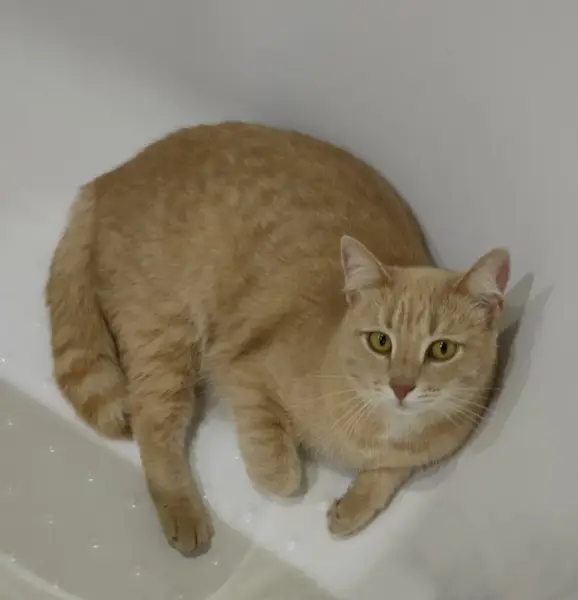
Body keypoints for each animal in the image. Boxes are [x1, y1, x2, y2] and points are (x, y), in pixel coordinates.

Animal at [46, 122, 509, 555]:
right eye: (381, 341)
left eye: (442, 349)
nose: (401, 386)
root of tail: (107, 179)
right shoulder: (241, 368)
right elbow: (272, 452)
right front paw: (281, 474)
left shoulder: (426, 450)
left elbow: (388, 475)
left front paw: (351, 509)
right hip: (164, 339)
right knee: (153, 426)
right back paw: (183, 511)